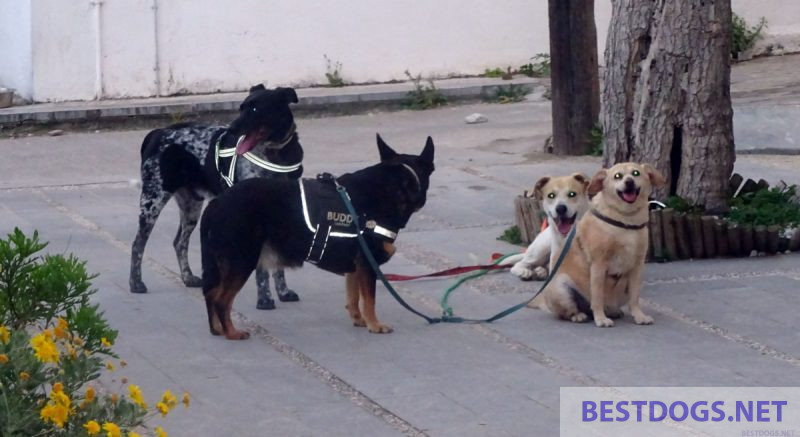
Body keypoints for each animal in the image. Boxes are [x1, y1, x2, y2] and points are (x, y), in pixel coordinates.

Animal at [130, 84, 304, 310]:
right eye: (241, 108)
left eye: (255, 109)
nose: (231, 129)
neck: (275, 155)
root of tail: (157, 133)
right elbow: (262, 269)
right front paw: (264, 299)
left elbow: (278, 264)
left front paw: (283, 292)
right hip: (153, 200)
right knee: (138, 244)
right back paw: (136, 283)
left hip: (191, 207)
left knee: (179, 242)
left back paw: (188, 278)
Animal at [532, 163, 668, 328]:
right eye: (617, 176)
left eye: (636, 173)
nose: (629, 182)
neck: (625, 221)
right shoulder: (598, 265)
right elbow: (597, 297)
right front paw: (601, 319)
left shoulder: (637, 266)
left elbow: (635, 297)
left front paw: (639, 316)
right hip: (561, 288)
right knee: (568, 311)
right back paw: (579, 315)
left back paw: (612, 312)